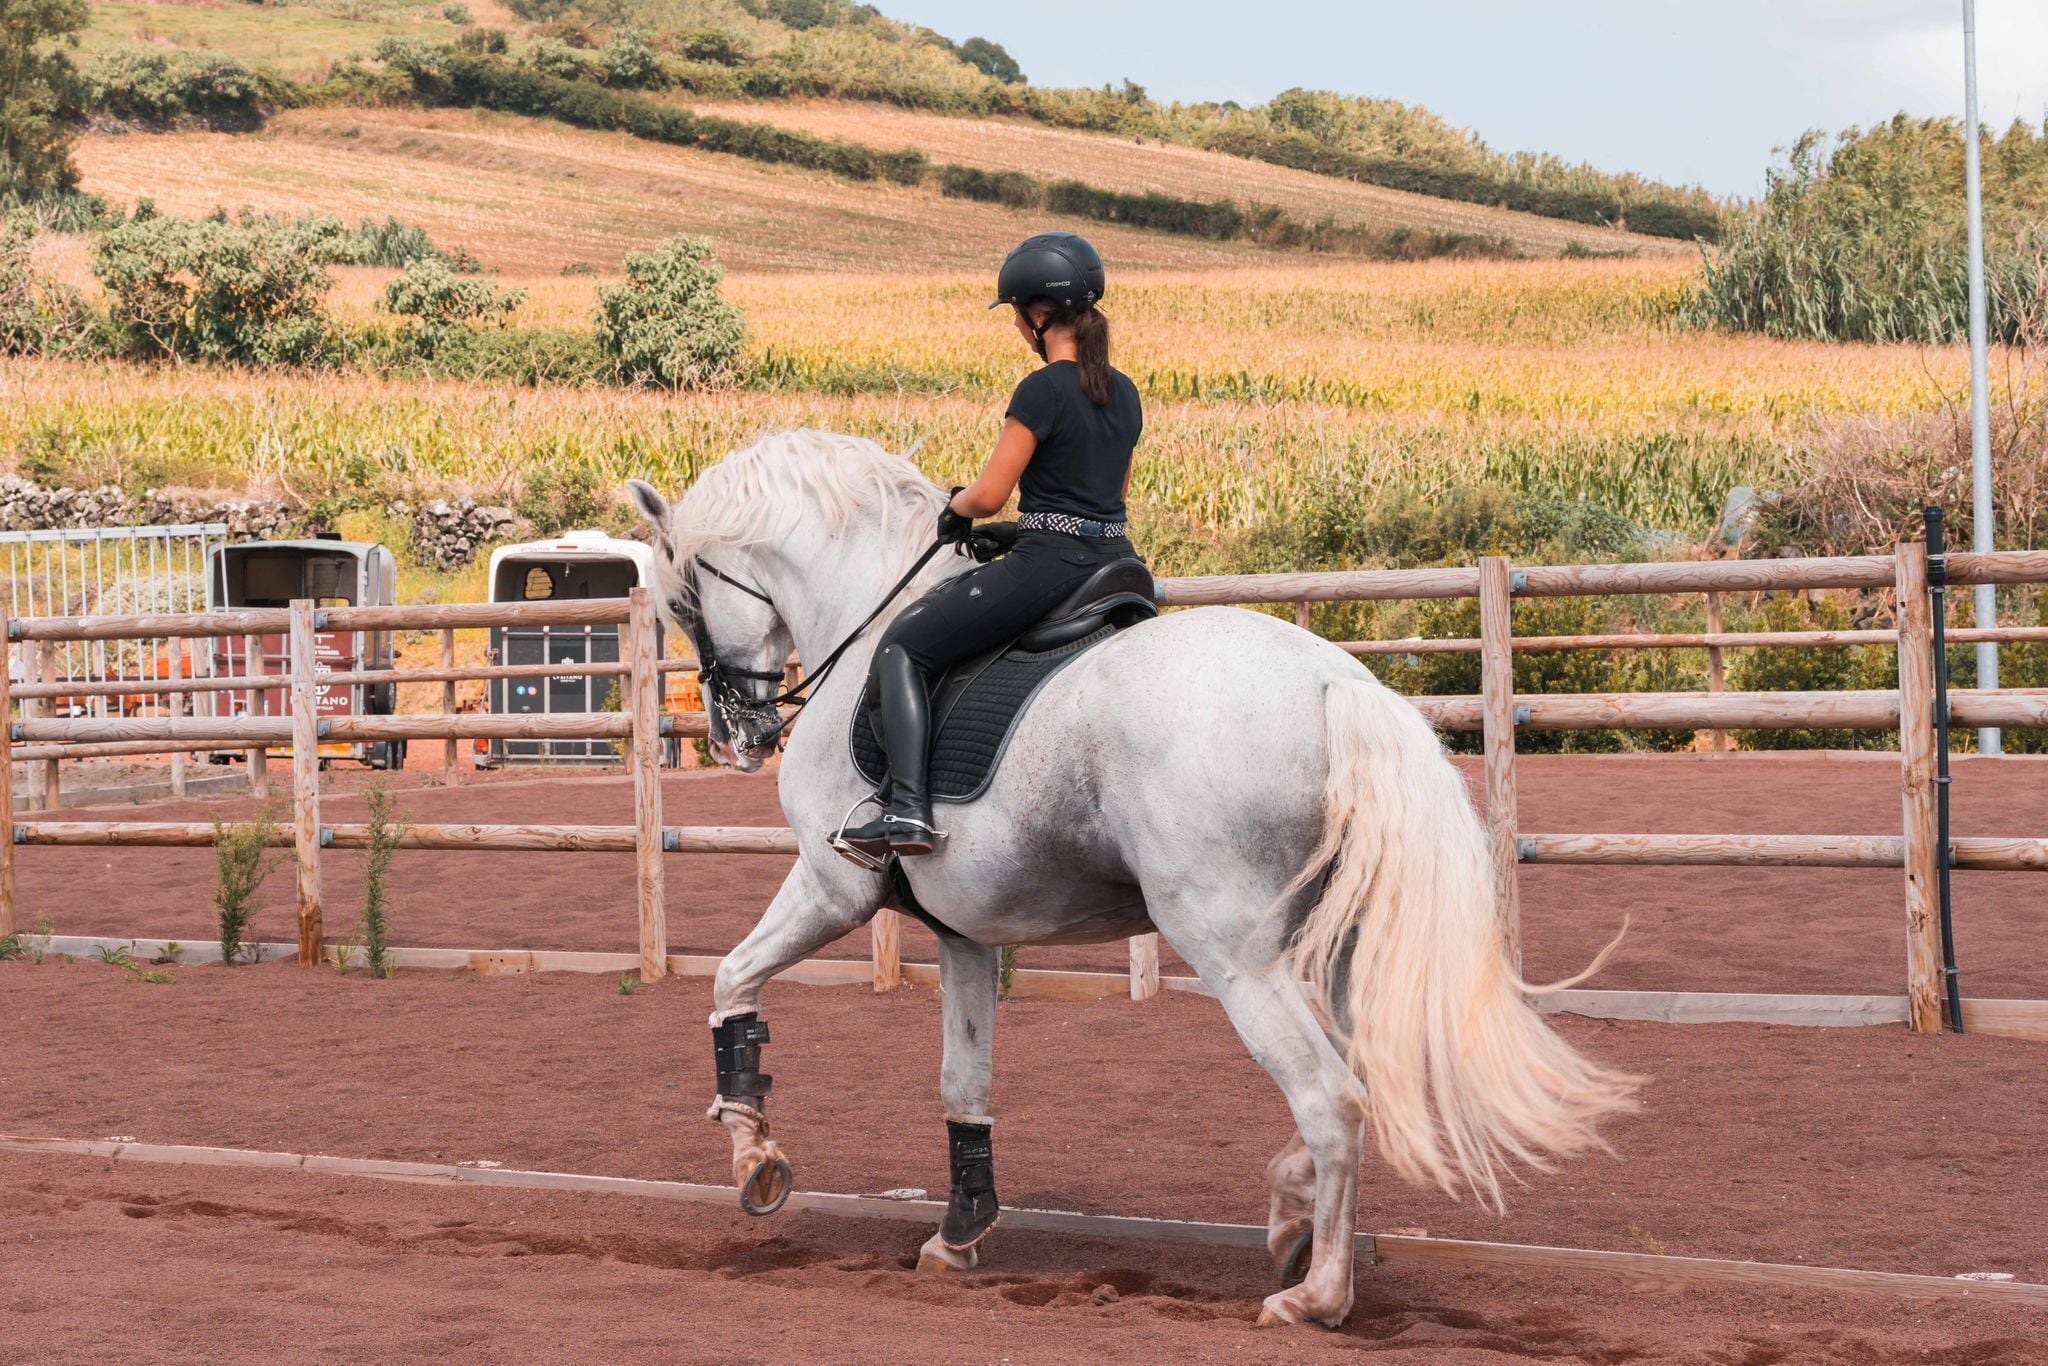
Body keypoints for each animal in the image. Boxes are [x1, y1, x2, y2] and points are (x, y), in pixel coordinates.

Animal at [627, 430, 1637, 1328]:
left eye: (680, 599)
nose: (738, 736)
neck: (866, 611)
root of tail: (1335, 684)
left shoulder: (835, 886)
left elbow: (732, 982)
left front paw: (754, 1154)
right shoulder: (967, 933)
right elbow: (963, 1080)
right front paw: (959, 1233)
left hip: (1235, 956)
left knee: (1331, 1098)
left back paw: (1316, 1295)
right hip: (1340, 947)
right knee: (1360, 1076)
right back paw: (1290, 1215)